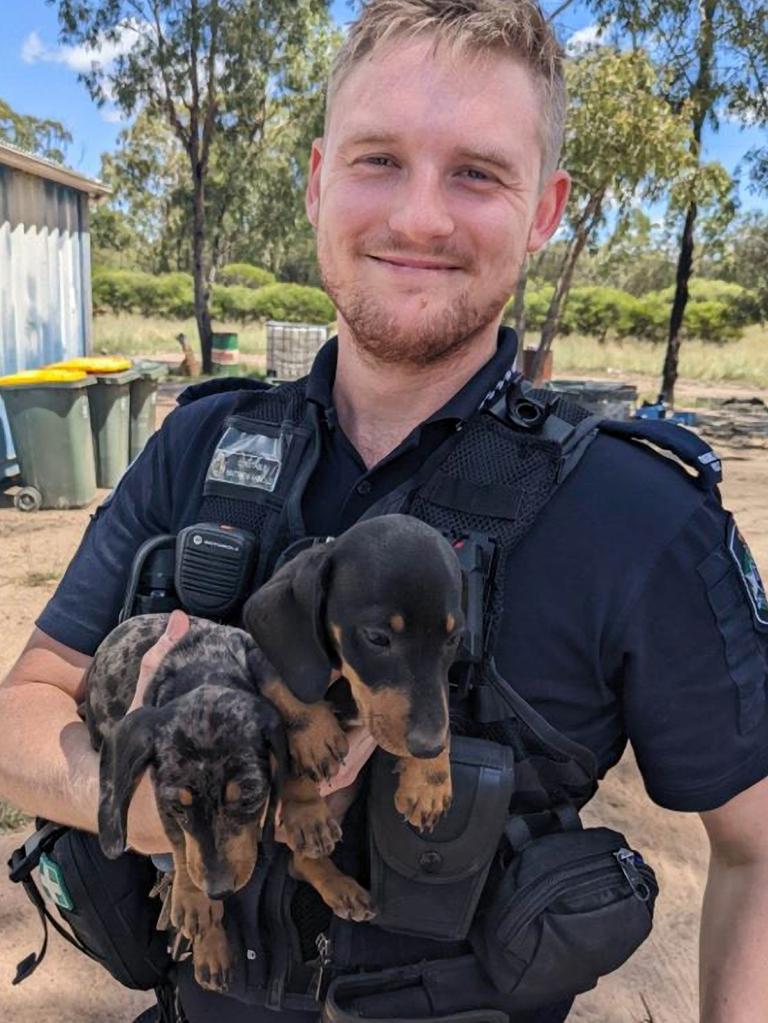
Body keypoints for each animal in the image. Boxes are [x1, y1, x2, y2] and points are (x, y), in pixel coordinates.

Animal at [243, 511, 466, 871]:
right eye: (376, 638)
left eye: (454, 639)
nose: (428, 747)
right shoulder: (260, 660)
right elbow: (288, 689)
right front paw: (315, 742)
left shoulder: (439, 688)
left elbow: (441, 701)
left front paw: (430, 780)